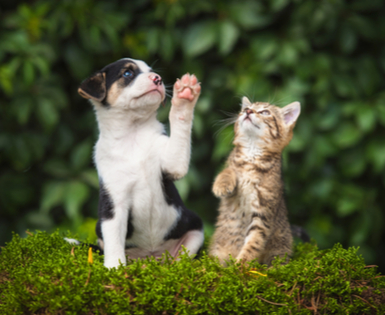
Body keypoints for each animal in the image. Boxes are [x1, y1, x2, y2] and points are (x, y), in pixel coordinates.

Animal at [77, 58, 204, 270]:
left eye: (151, 71)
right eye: (127, 73)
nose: (158, 78)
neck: (133, 133)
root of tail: (151, 258)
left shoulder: (173, 164)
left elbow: (180, 120)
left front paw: (185, 95)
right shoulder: (114, 203)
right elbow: (114, 241)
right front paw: (114, 268)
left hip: (195, 228)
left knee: (182, 257)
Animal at [208, 97, 298, 266]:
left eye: (265, 112)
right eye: (245, 109)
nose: (248, 111)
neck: (251, 154)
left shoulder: (263, 214)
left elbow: (253, 243)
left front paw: (240, 265)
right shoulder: (232, 165)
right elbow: (228, 170)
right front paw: (222, 184)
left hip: (280, 247)